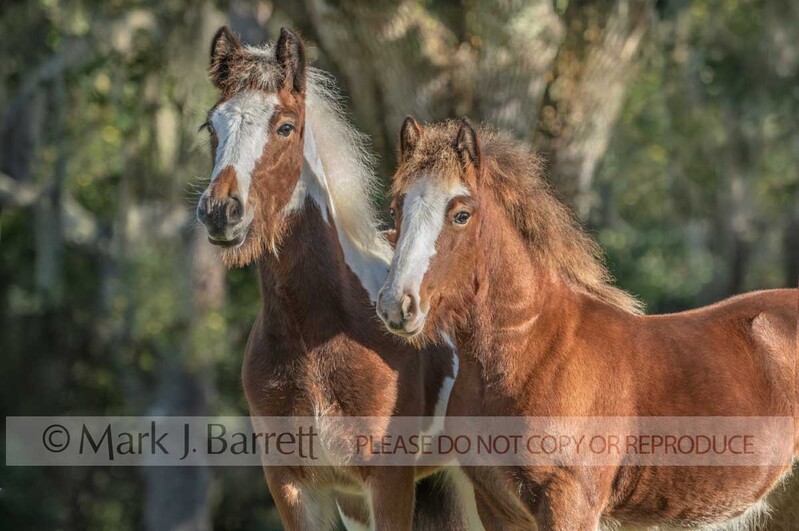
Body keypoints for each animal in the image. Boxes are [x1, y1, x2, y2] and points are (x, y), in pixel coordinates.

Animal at [195, 28, 478, 530]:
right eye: (212, 127)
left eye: (285, 126)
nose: (221, 211)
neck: (317, 335)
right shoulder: (299, 487)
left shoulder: (387, 482)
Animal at [376, 117, 798, 530]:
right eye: (396, 210)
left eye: (461, 214)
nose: (397, 305)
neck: (531, 350)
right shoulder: (496, 506)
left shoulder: (570, 503)